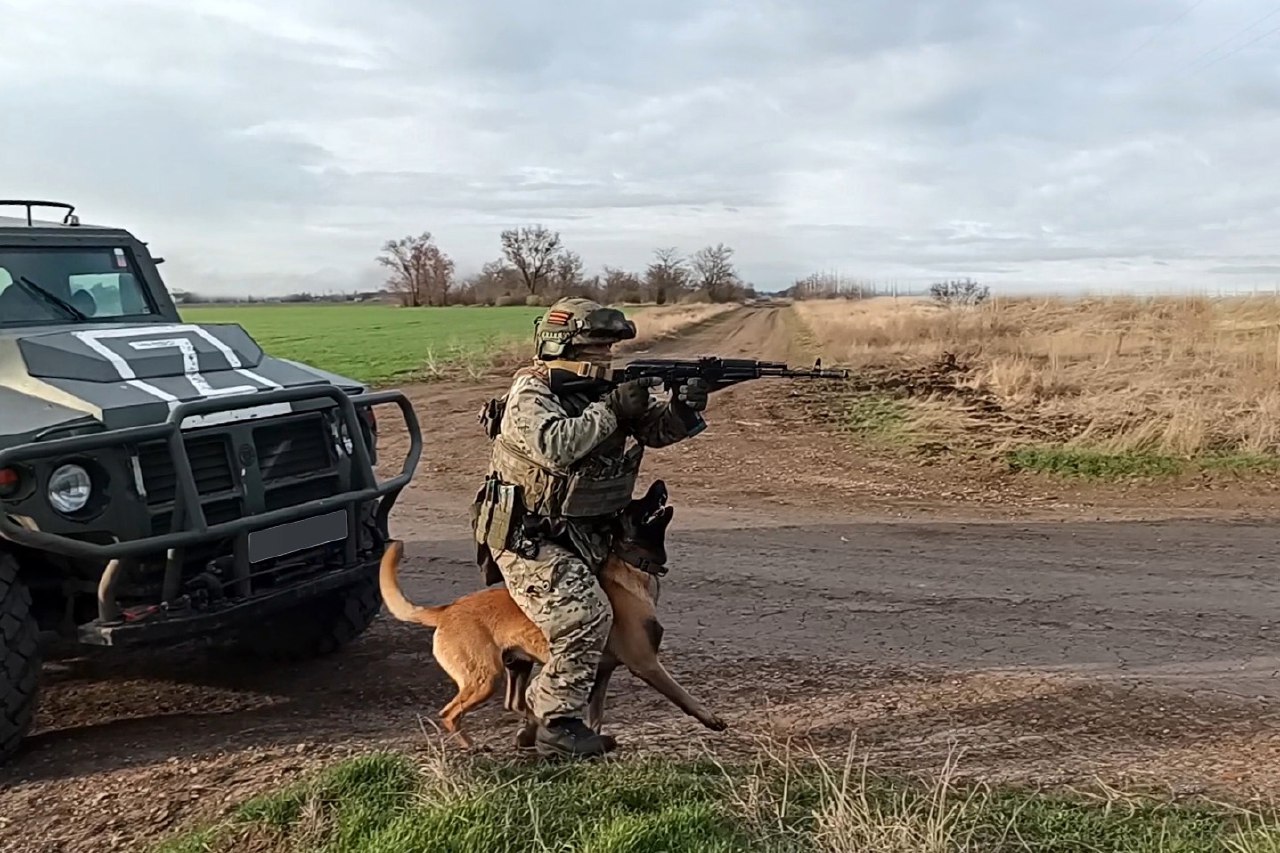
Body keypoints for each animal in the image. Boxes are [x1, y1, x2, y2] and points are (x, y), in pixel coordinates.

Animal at [373, 481, 727, 747]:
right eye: (635, 508)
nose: (659, 484)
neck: (631, 566)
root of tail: (446, 611)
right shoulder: (647, 664)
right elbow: (682, 695)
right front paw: (710, 718)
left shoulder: (602, 674)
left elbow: (595, 717)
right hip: (486, 677)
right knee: (449, 714)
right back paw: (472, 747)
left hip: (517, 665)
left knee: (515, 702)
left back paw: (528, 731)